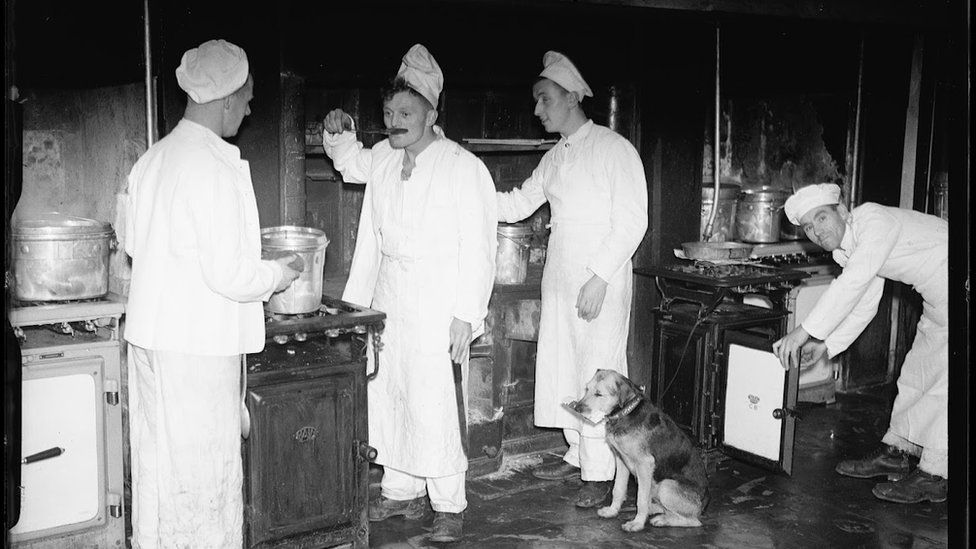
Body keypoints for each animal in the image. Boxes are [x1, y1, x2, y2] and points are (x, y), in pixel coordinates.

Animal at [572, 368, 708, 532]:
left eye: (599, 394)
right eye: (587, 389)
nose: (576, 409)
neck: (625, 413)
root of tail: (704, 503)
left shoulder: (644, 464)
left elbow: (641, 499)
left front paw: (637, 523)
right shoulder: (621, 459)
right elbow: (618, 489)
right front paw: (612, 511)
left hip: (666, 486)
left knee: (694, 521)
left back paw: (662, 520)